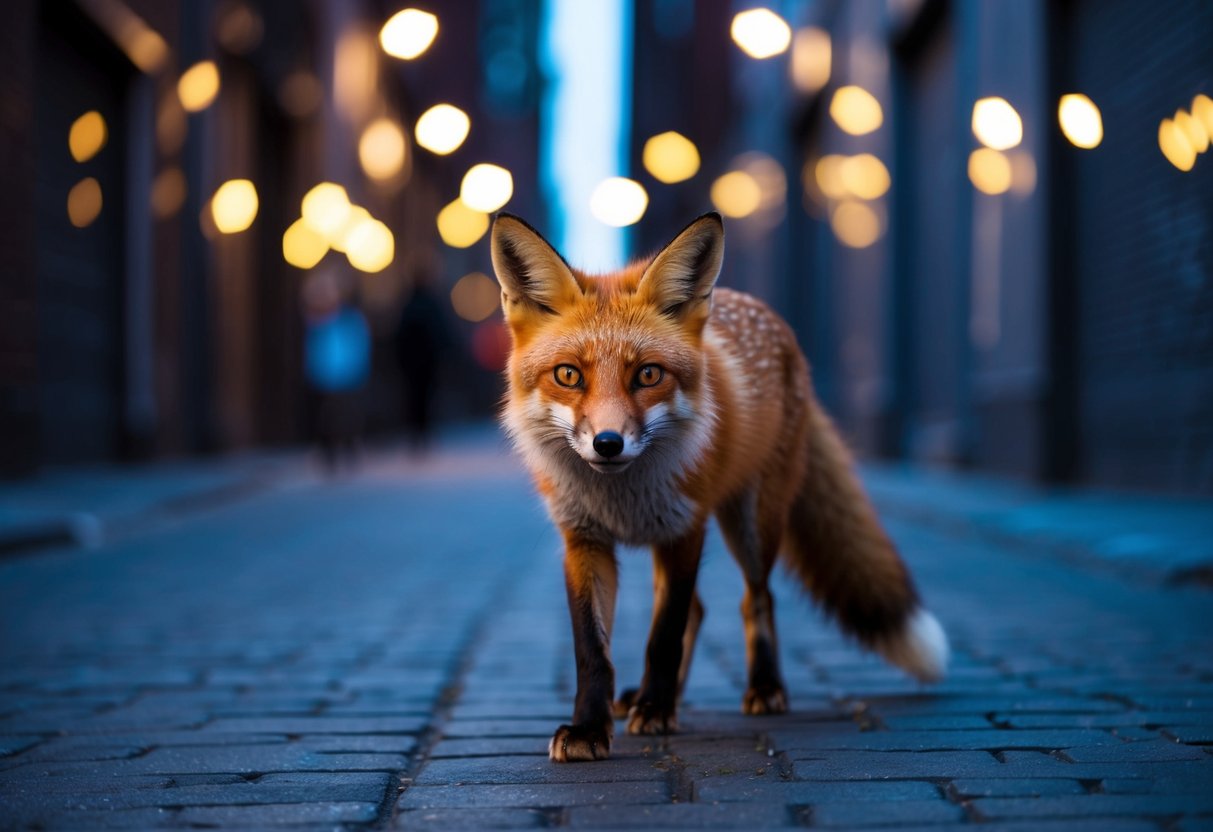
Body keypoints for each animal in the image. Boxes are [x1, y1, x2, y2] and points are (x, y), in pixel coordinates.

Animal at [490, 211, 949, 763]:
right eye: (568, 375)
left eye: (648, 375)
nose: (608, 443)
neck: (620, 496)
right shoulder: (582, 540)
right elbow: (592, 650)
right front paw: (590, 728)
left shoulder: (686, 528)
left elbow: (663, 636)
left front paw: (657, 711)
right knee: (702, 609)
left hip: (751, 524)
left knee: (756, 599)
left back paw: (762, 689)